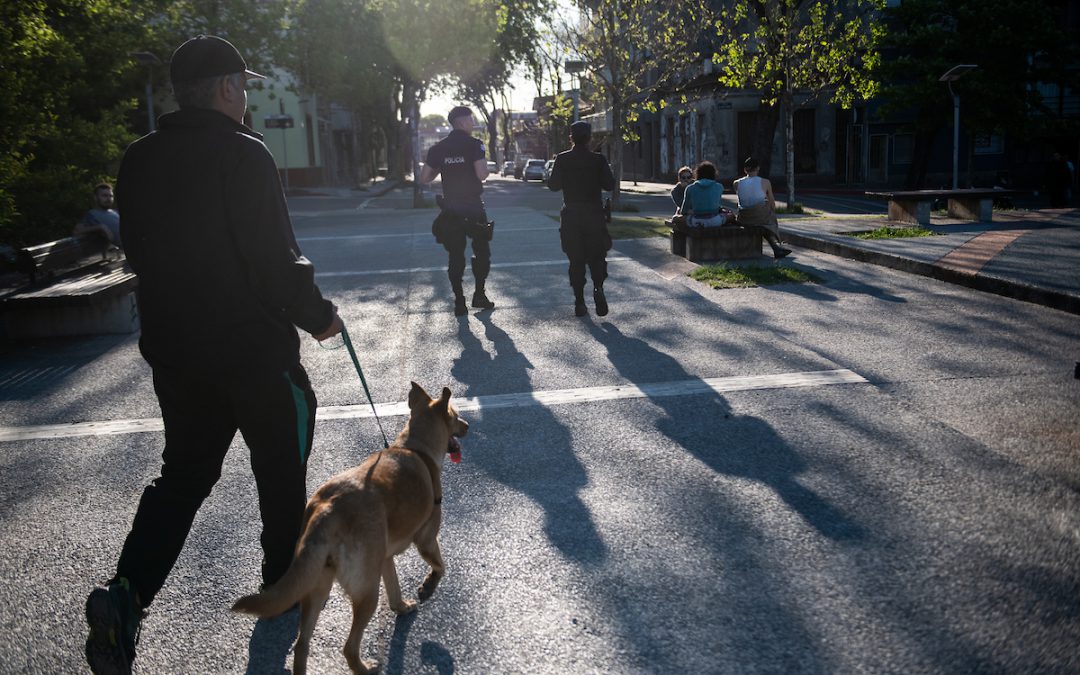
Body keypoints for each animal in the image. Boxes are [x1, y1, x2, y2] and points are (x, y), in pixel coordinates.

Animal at [232, 382, 468, 669]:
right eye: (456, 416)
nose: (468, 426)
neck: (415, 448)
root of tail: (327, 511)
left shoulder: (385, 560)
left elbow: (394, 589)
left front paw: (401, 607)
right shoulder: (427, 540)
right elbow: (440, 567)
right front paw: (428, 586)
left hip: (316, 587)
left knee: (302, 645)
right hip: (366, 593)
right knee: (348, 648)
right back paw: (366, 668)